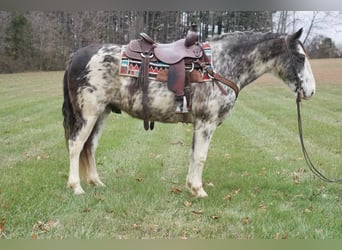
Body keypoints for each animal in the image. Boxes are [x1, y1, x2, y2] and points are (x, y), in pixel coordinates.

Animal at [62, 28, 316, 197]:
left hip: (102, 113)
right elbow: (201, 156)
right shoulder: (206, 123)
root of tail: (76, 56)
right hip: (88, 114)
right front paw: (199, 190)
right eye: (300, 57)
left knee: (89, 146)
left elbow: (194, 155)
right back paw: (76, 187)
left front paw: (191, 187)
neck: (219, 65)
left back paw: (96, 182)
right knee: (76, 145)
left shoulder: (199, 124)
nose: (311, 91)